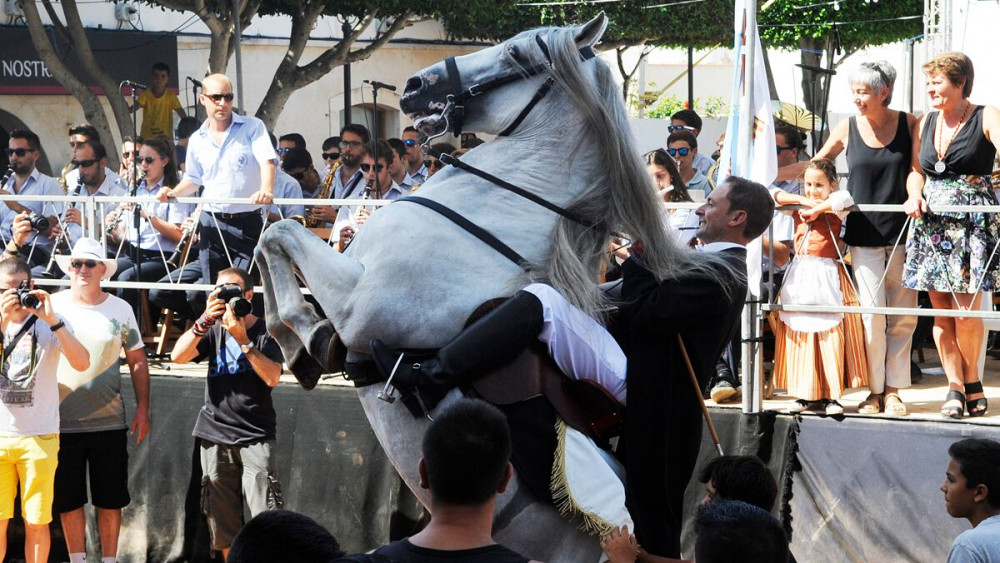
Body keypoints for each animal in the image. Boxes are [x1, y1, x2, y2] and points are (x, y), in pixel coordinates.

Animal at [258, 12, 696, 560]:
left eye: (515, 54)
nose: (414, 86)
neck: (494, 209)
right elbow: (269, 239)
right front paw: (288, 344)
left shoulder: (359, 308)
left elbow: (281, 235)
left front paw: (309, 341)